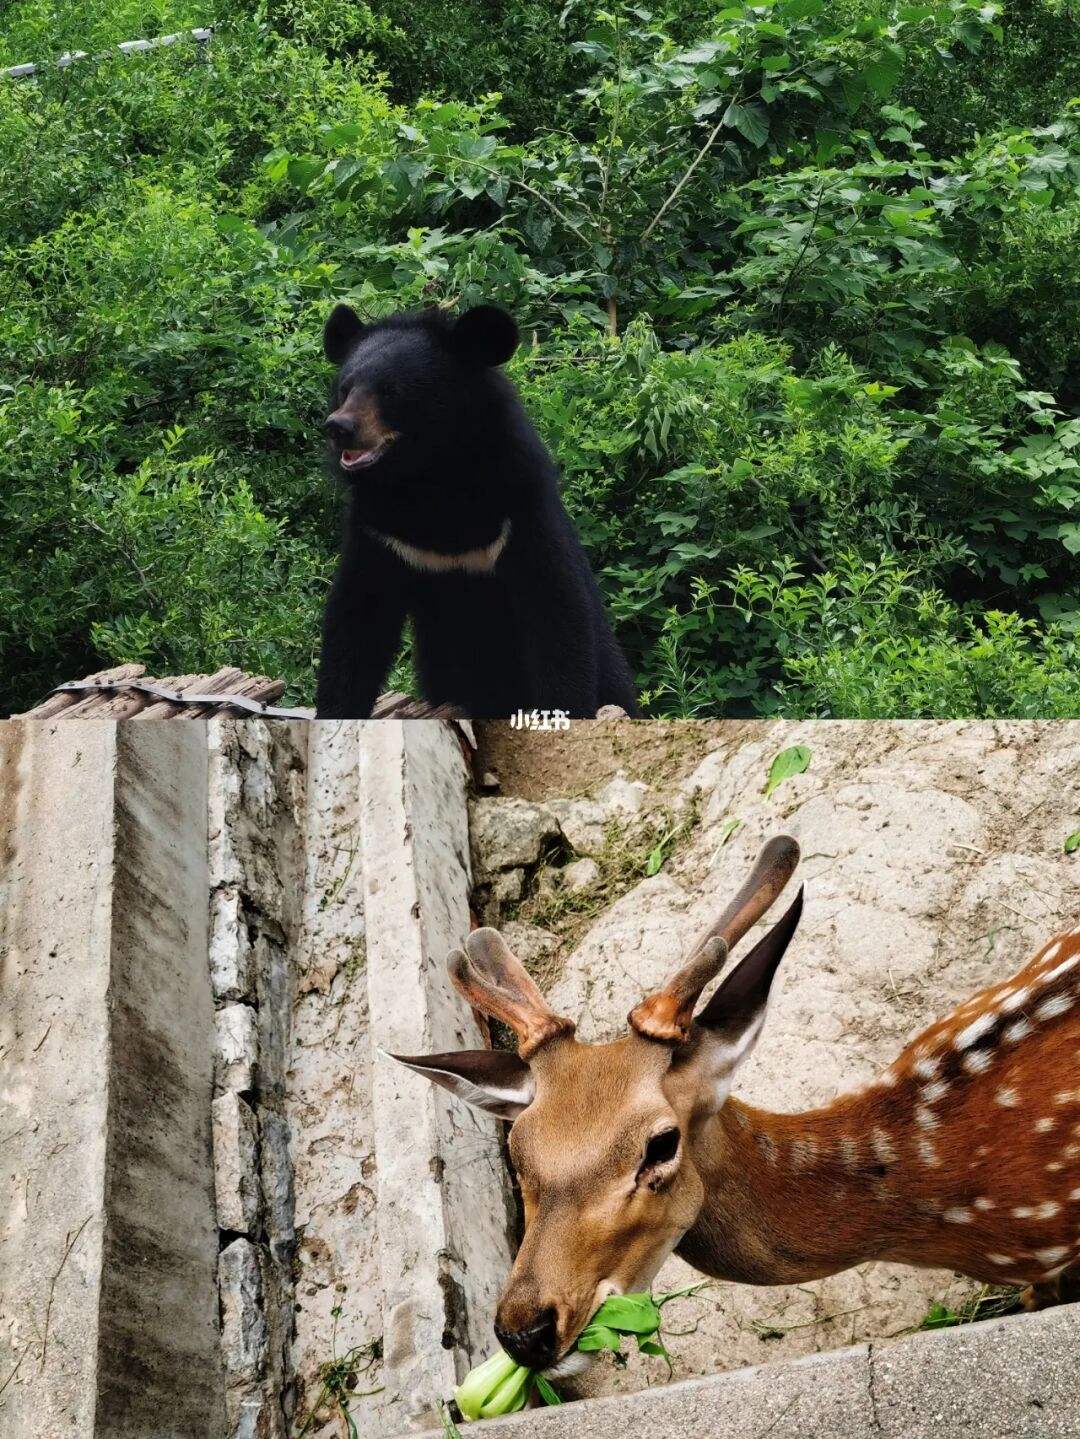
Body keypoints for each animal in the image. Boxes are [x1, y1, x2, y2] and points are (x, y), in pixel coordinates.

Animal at [312, 303, 638, 719]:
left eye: (391, 391)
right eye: (345, 388)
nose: (339, 427)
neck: (429, 477)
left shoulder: (521, 511)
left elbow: (557, 619)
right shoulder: (380, 532)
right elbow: (358, 622)